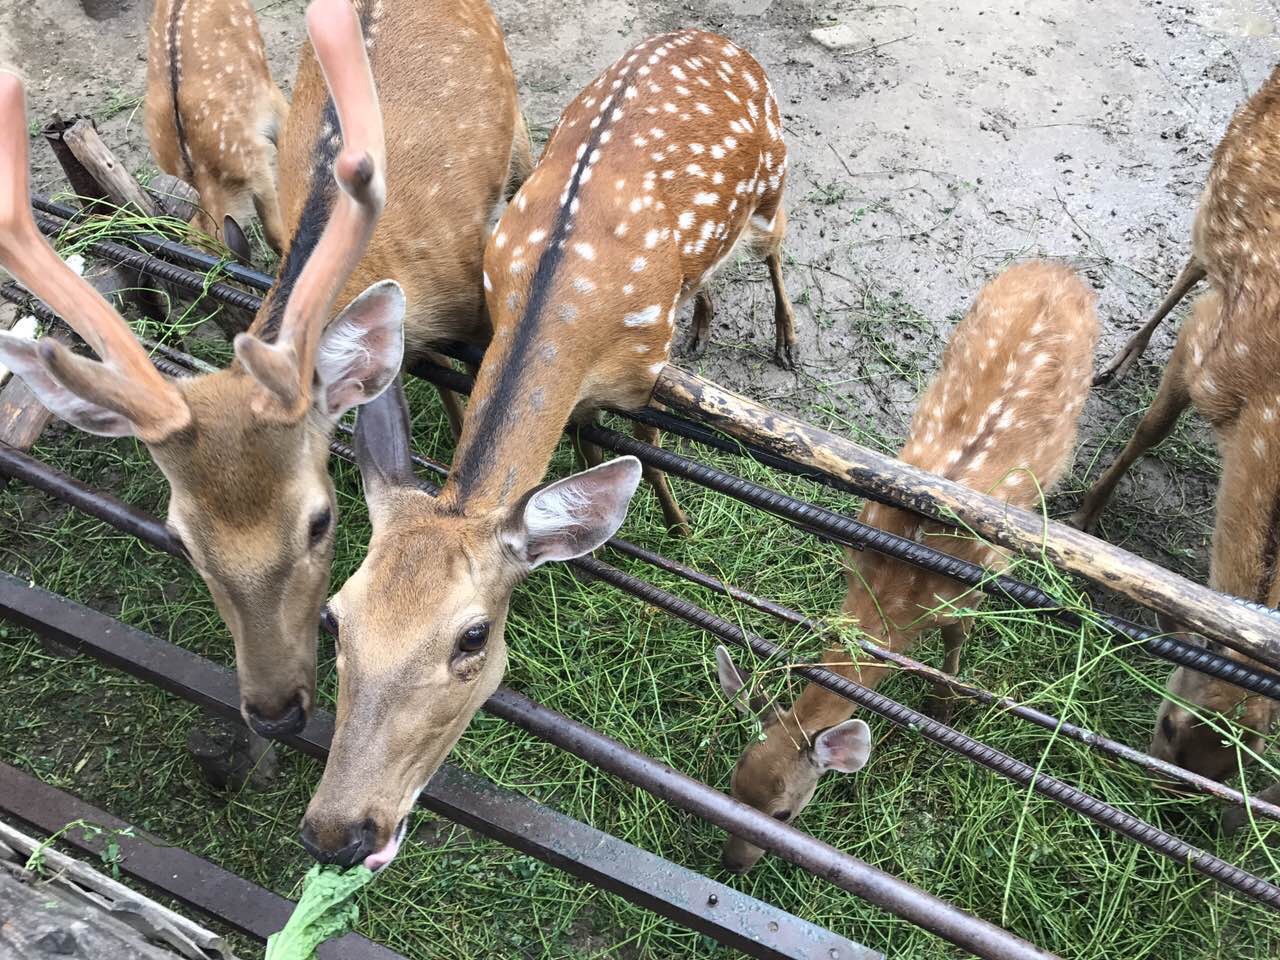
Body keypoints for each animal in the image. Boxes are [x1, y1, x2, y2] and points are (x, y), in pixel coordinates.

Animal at [303, 32, 793, 870]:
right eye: (335, 618)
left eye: (473, 637)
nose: (338, 831)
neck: (564, 305)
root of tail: (722, 41)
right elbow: (579, 438)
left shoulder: (644, 367)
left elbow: (646, 442)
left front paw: (679, 528)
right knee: (713, 273)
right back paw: (704, 320)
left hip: (775, 179)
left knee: (777, 244)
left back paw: (788, 340)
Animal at [716, 261, 1095, 870]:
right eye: (732, 782)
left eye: (784, 814)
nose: (730, 863)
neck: (896, 594)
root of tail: (1058, 269)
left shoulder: (972, 588)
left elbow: (954, 648)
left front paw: (944, 711)